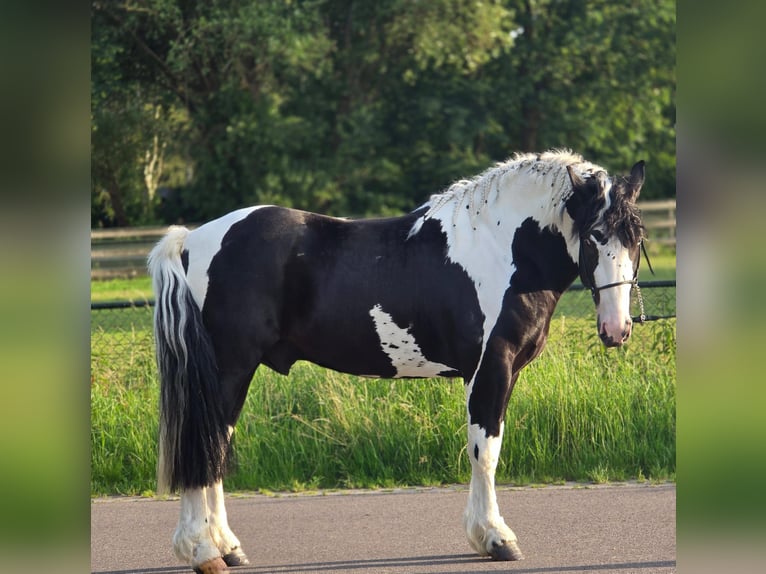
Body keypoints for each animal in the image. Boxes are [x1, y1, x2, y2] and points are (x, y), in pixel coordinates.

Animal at [148, 149, 646, 573]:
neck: (502, 247)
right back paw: (203, 550)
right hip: (229, 369)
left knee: (214, 447)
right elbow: (485, 452)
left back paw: (226, 547)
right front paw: (495, 538)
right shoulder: (490, 369)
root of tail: (191, 240)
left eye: (636, 238)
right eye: (595, 234)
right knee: (205, 446)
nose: (617, 329)